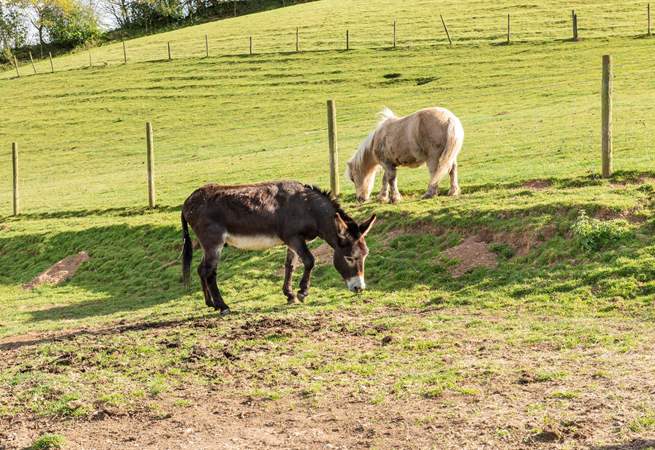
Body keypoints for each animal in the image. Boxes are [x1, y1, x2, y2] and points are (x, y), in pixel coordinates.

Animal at [182, 181, 376, 314]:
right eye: (349, 258)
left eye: (365, 256)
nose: (360, 288)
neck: (307, 208)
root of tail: (187, 201)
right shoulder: (294, 238)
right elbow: (310, 261)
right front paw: (302, 292)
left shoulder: (293, 241)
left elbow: (290, 266)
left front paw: (290, 295)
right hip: (214, 242)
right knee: (209, 271)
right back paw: (223, 306)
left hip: (208, 245)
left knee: (201, 269)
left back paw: (211, 304)